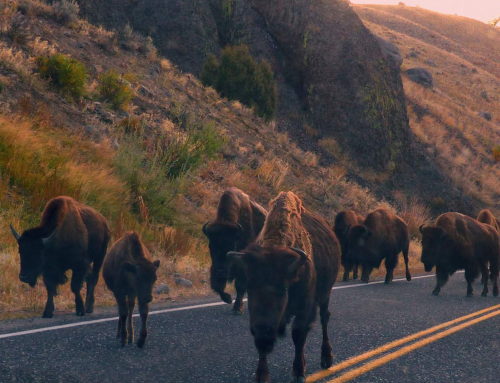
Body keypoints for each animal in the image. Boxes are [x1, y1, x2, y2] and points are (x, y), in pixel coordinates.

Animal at [228, 192, 340, 383]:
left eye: (283, 289)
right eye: (249, 288)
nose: (262, 328)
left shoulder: (305, 308)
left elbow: (298, 335)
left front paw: (299, 373)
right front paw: (261, 375)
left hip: (326, 293)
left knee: (325, 318)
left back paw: (326, 358)